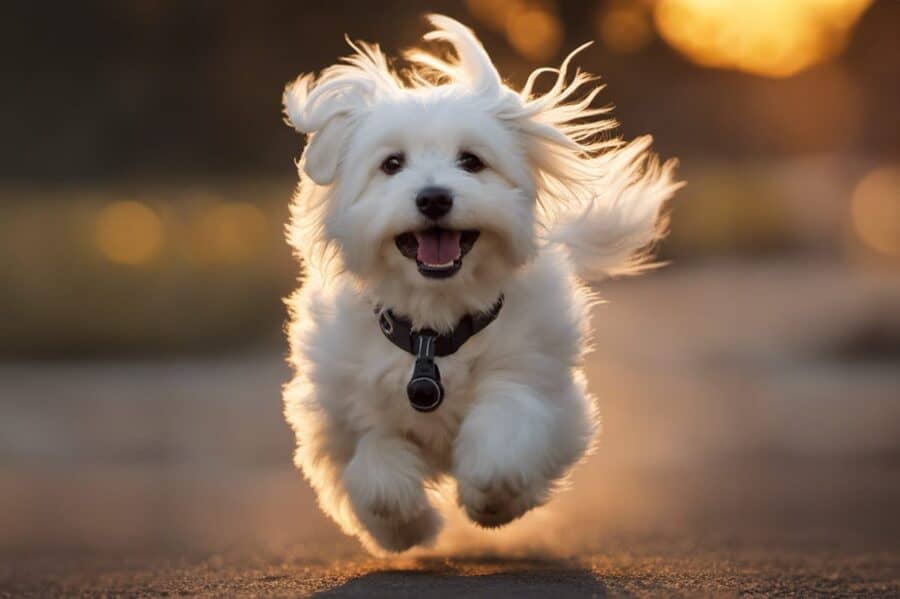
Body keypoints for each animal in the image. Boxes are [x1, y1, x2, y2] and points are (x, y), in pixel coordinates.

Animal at [280, 14, 676, 556]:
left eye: (471, 161)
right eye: (391, 164)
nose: (433, 198)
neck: (433, 329)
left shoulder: (534, 380)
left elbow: (504, 433)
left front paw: (491, 498)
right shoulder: (339, 413)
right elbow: (376, 467)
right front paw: (408, 525)